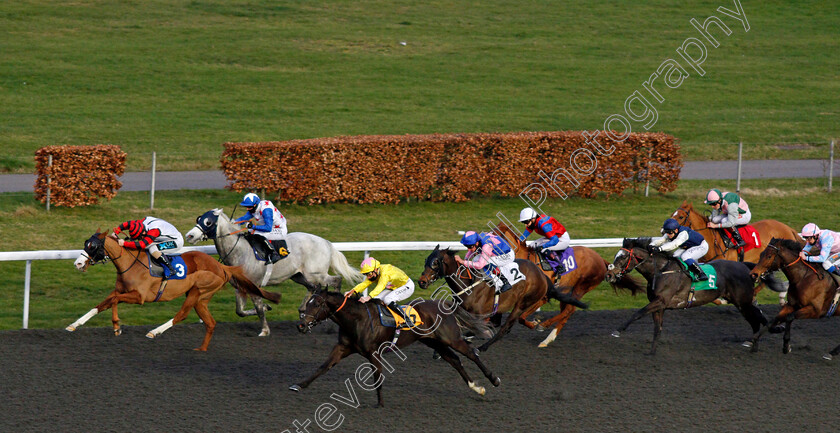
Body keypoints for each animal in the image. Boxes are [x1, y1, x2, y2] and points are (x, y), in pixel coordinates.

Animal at [69, 231, 278, 350]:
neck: (130, 263)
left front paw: (116, 327)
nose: (77, 263)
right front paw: (74, 325)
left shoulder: (140, 297)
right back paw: (201, 350)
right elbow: (101, 305)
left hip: (197, 291)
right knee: (210, 323)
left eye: (92, 246)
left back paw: (154, 332)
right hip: (202, 298)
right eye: (85, 244)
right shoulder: (120, 291)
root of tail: (222, 267)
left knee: (182, 314)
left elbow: (113, 301)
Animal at [185, 208, 362, 336]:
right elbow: (240, 311)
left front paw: (264, 330)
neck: (240, 251)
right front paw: (267, 307)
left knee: (336, 280)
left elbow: (257, 308)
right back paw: (302, 310)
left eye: (208, 222)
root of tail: (327, 243)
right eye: (199, 219)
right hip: (298, 275)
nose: (190, 235)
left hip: (316, 274)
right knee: (312, 288)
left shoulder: (254, 285)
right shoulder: (239, 287)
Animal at [288, 286, 498, 404]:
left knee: (471, 353)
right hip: (434, 342)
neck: (356, 319)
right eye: (308, 303)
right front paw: (299, 385)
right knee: (455, 360)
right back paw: (476, 387)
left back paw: (494, 379)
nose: (301, 325)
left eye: (316, 304)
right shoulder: (342, 348)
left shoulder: (374, 353)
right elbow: (323, 367)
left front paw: (380, 403)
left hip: (451, 338)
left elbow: (377, 377)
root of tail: (445, 304)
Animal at [416, 245, 588, 350]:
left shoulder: (480, 315)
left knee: (506, 327)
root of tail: (541, 274)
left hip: (522, 303)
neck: (468, 285)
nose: (422, 281)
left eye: (436, 262)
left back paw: (483, 347)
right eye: (425, 260)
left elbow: (474, 329)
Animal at [492, 221, 644, 346]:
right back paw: (547, 339)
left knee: (570, 309)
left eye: (494, 237)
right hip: (567, 291)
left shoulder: (544, 295)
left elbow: (521, 317)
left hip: (582, 286)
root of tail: (601, 259)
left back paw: (545, 327)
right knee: (566, 311)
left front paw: (535, 323)